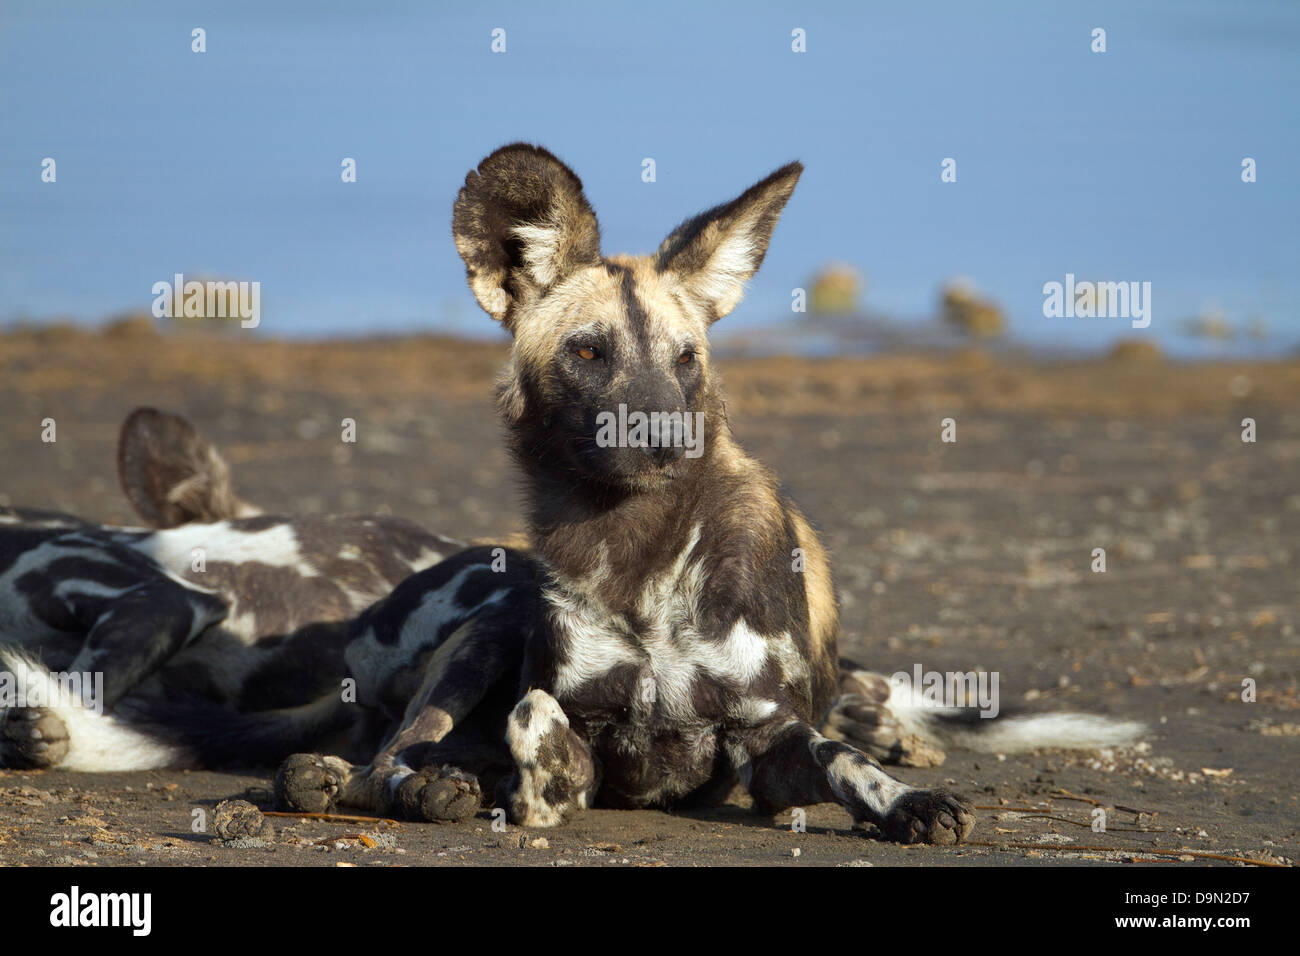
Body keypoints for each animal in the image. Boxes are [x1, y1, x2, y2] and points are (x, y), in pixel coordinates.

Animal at [172, 143, 1138, 842]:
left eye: (686, 359)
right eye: (587, 351)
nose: (666, 437)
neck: (639, 562)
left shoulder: (764, 751)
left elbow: (837, 759)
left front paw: (904, 803)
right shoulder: (578, 719)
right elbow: (538, 723)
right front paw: (526, 783)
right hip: (483, 624)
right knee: (393, 757)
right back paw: (393, 781)